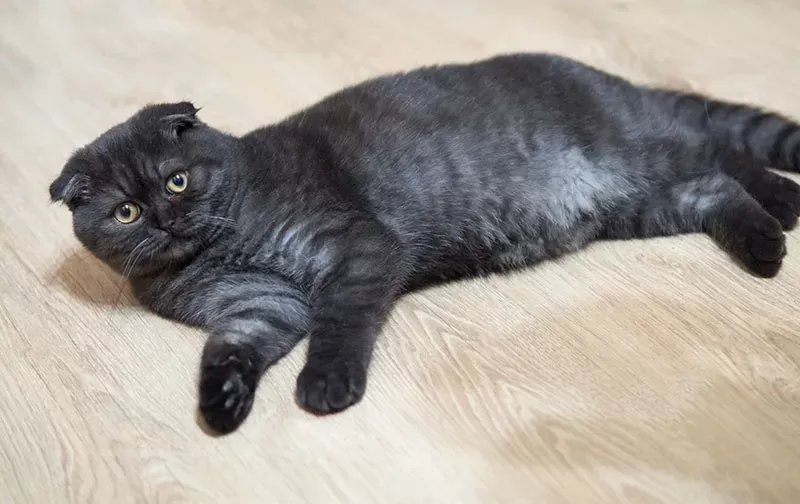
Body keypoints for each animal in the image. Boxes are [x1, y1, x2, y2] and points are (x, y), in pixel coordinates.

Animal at [50, 54, 800, 434]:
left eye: (176, 181)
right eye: (125, 212)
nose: (163, 221)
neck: (215, 255)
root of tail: (610, 79)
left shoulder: (355, 250)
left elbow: (340, 324)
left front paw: (326, 385)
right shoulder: (260, 307)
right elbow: (228, 350)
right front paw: (221, 404)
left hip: (635, 156)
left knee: (722, 155)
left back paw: (784, 208)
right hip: (633, 202)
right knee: (710, 186)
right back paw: (762, 244)